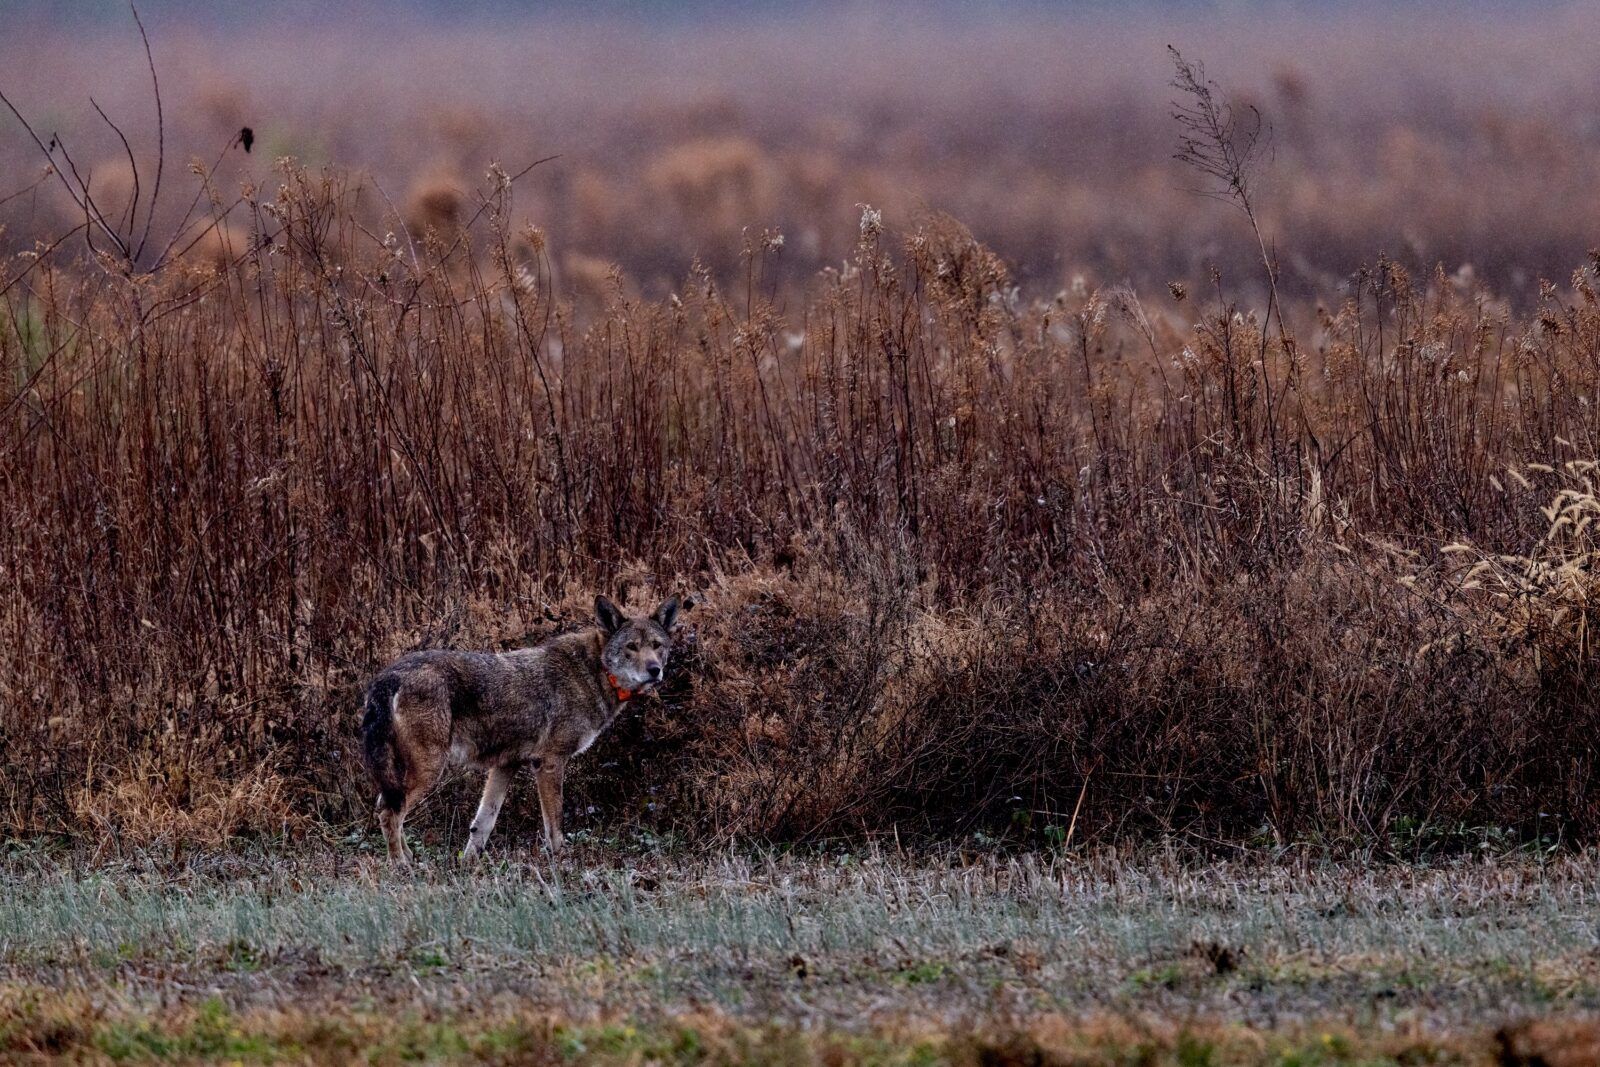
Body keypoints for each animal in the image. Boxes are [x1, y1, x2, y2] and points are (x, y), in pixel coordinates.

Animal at [360, 594, 678, 863]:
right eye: (631, 647)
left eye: (657, 646)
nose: (655, 670)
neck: (594, 672)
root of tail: (387, 676)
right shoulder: (549, 763)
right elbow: (554, 825)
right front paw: (562, 864)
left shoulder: (505, 765)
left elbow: (482, 825)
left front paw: (467, 866)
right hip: (428, 771)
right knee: (389, 813)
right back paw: (402, 866)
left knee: (385, 807)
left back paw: (412, 860)